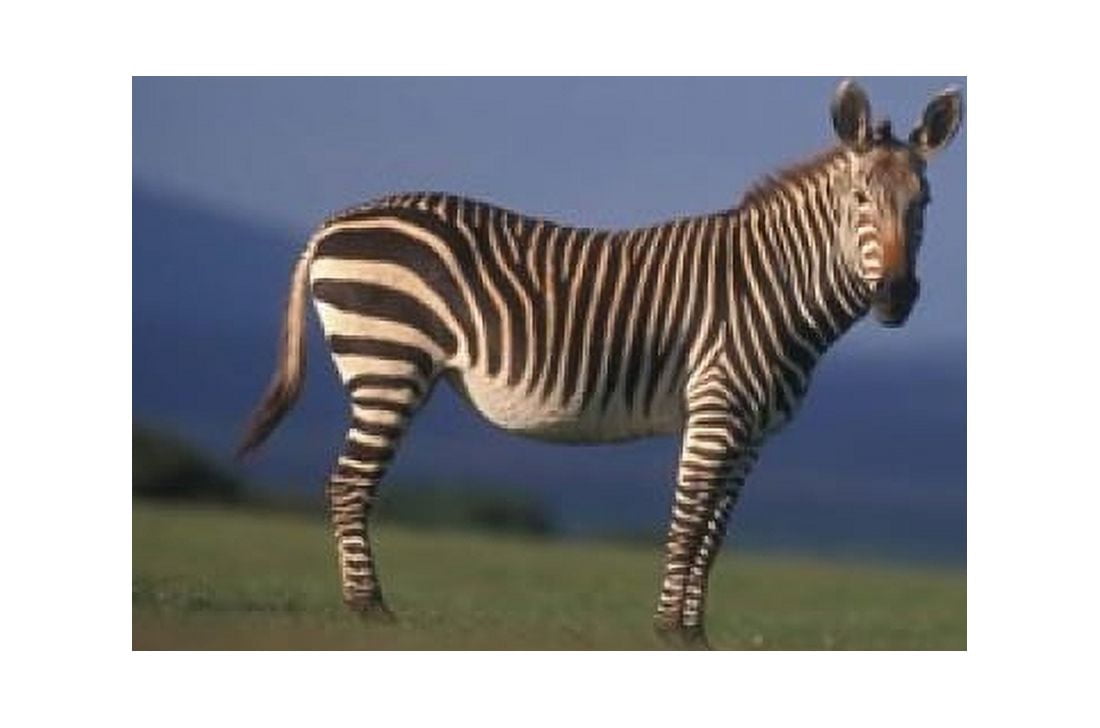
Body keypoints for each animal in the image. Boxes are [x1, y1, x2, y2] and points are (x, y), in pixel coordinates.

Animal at [238, 80, 962, 648]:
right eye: (860, 200)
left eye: (922, 205)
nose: (896, 296)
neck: (777, 287)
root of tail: (334, 221)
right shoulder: (717, 407)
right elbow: (690, 518)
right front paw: (670, 631)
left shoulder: (752, 432)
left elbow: (716, 531)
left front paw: (695, 635)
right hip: (387, 361)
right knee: (348, 484)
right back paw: (370, 611)